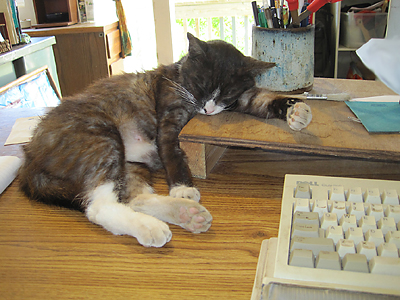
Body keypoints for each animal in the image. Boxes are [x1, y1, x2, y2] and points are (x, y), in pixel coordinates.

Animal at [18, 33, 312, 248]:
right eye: (201, 85)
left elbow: (261, 98)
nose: (208, 109)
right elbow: (171, 148)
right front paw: (182, 187)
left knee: (133, 198)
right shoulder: (169, 114)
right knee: (99, 207)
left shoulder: (240, 99)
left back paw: (184, 215)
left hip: (130, 164)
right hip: (99, 136)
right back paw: (153, 224)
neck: (181, 78)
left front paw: (297, 111)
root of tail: (30, 157)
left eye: (226, 93)